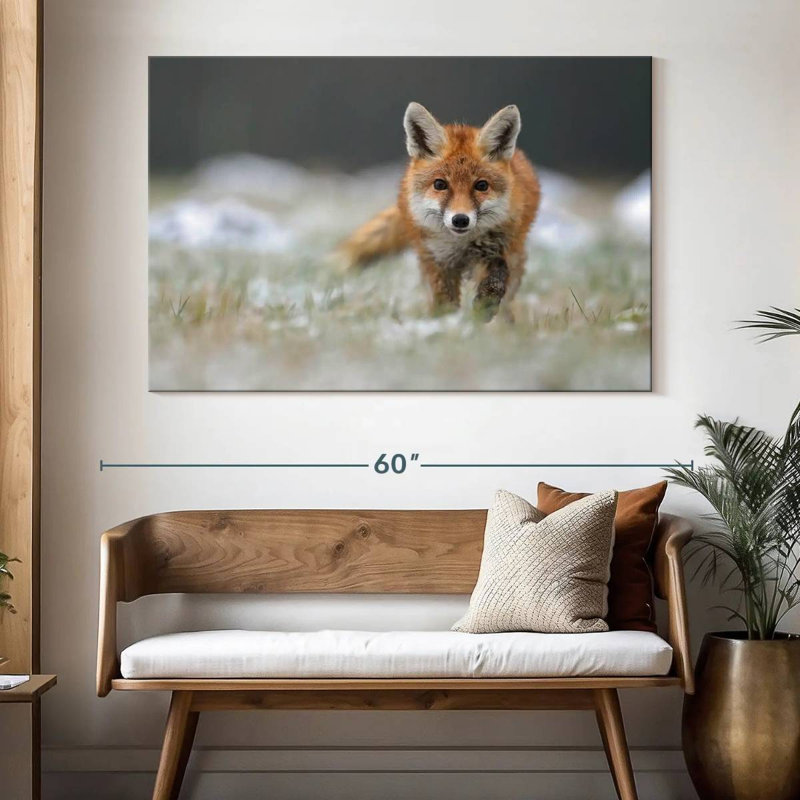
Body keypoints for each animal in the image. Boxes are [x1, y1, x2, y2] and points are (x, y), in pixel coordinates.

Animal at [338, 102, 541, 321]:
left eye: (481, 185)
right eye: (440, 184)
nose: (460, 219)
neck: (462, 246)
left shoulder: (498, 249)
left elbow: (497, 278)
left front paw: (484, 307)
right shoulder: (438, 260)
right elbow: (445, 302)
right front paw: (446, 322)